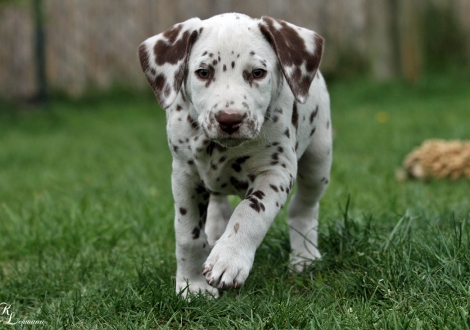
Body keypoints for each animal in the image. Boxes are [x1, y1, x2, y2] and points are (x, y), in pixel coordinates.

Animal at [138, 12, 332, 298]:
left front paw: (228, 259)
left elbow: (249, 213)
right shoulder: (185, 175)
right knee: (218, 205)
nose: (229, 119)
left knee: (304, 206)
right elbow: (187, 235)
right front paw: (193, 285)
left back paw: (304, 255)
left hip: (317, 162)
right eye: (203, 72)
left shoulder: (275, 172)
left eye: (258, 73)